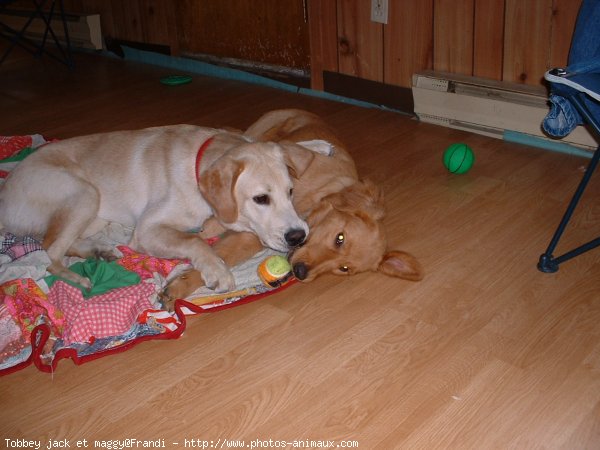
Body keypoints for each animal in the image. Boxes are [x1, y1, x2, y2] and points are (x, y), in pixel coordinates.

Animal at [0, 124, 328, 292]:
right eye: (260, 199)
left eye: (290, 192)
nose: (298, 236)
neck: (198, 163)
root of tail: (6, 189)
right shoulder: (147, 229)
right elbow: (194, 240)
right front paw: (216, 269)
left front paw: (315, 145)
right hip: (84, 192)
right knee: (48, 252)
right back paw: (79, 277)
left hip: (95, 212)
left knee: (56, 243)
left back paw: (98, 250)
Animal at [161, 109, 422, 306]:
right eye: (340, 238)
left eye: (344, 268)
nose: (300, 272)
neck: (316, 199)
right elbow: (218, 247)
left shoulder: (257, 235)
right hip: (262, 134)